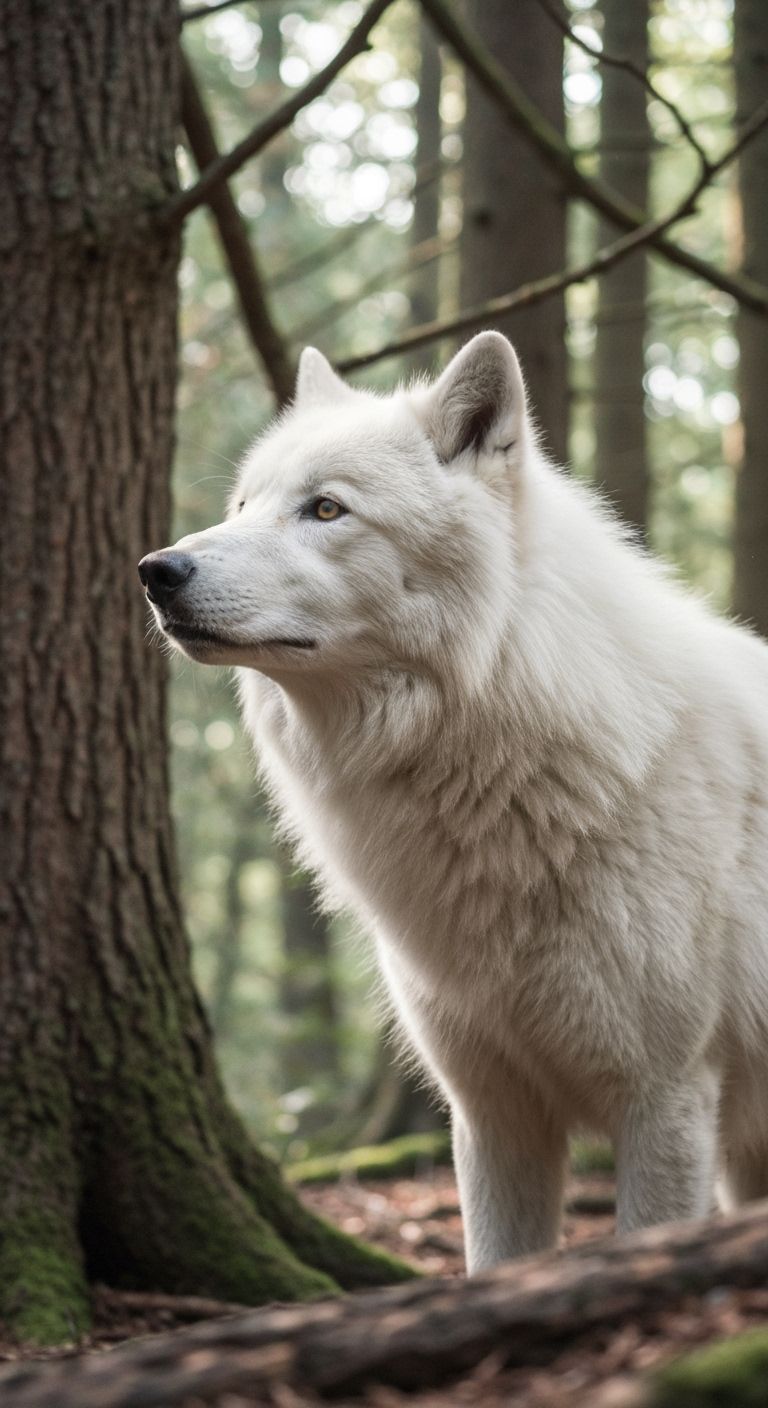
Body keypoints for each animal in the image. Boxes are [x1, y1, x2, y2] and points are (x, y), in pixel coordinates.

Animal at [140, 332, 768, 1271]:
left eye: (326, 509)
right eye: (244, 503)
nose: (156, 570)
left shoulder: (666, 1100)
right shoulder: (490, 1114)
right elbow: (493, 1263)